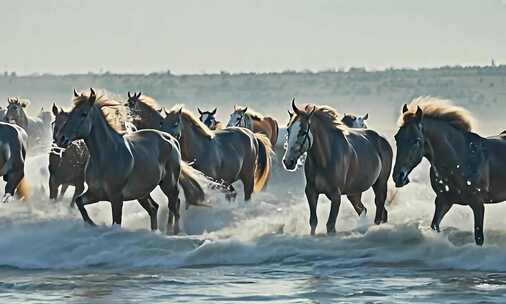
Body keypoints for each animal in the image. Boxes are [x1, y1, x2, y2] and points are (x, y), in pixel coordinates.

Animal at [54, 89, 205, 234]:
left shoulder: (116, 198)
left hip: (169, 184)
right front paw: (93, 225)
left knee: (174, 204)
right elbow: (79, 202)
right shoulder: (95, 193)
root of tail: (172, 139)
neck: (106, 155)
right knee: (154, 208)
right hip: (142, 193)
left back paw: (174, 231)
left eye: (83, 114)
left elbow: (116, 222)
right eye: (70, 114)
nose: (61, 138)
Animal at [282, 100, 394, 235]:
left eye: (303, 131)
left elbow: (330, 226)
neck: (324, 160)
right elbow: (313, 222)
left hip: (380, 183)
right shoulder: (311, 193)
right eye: (288, 129)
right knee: (368, 210)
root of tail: (382, 140)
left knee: (379, 205)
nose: (288, 162)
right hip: (354, 193)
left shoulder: (336, 196)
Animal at [392, 97, 506, 247]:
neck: (459, 160)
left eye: (416, 140)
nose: (398, 177)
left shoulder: (478, 204)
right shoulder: (443, 202)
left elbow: (479, 237)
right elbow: (435, 226)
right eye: (397, 137)